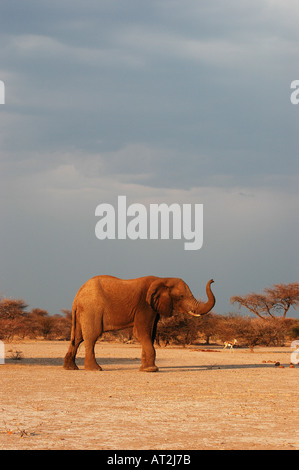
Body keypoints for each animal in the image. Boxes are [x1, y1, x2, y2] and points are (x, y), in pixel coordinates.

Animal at [63, 276, 216, 370]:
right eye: (181, 296)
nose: (213, 280)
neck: (162, 279)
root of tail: (77, 296)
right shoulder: (144, 305)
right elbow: (141, 332)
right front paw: (151, 370)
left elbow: (150, 333)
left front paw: (144, 368)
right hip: (91, 309)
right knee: (91, 336)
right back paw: (95, 369)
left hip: (83, 312)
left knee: (77, 338)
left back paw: (71, 368)